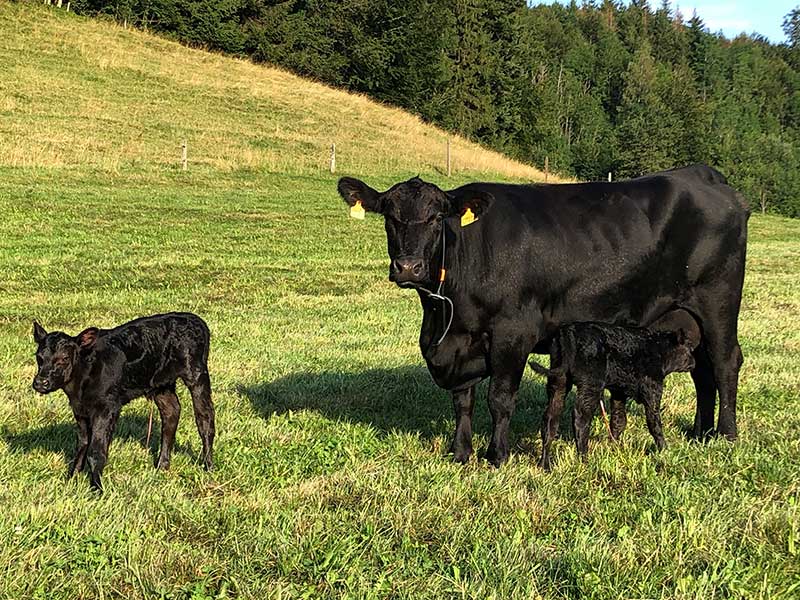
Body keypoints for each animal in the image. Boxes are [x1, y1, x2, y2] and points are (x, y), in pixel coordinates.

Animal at [32, 312, 216, 490]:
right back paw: (162, 466)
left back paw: (208, 466)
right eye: (39, 357)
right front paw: (71, 478)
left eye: (64, 358)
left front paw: (96, 488)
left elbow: (96, 451)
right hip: (161, 384)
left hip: (196, 373)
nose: (40, 382)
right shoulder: (79, 409)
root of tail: (193, 318)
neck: (79, 385)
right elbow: (82, 444)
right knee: (171, 411)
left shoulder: (107, 407)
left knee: (205, 419)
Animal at [532, 322, 692, 472]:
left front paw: (614, 447)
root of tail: (568, 332)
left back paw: (545, 465)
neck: (660, 350)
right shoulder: (653, 390)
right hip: (591, 384)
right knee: (580, 418)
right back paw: (584, 460)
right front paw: (665, 451)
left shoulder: (618, 392)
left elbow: (618, 420)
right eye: (690, 349)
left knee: (550, 419)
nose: (694, 362)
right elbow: (654, 423)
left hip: (559, 382)